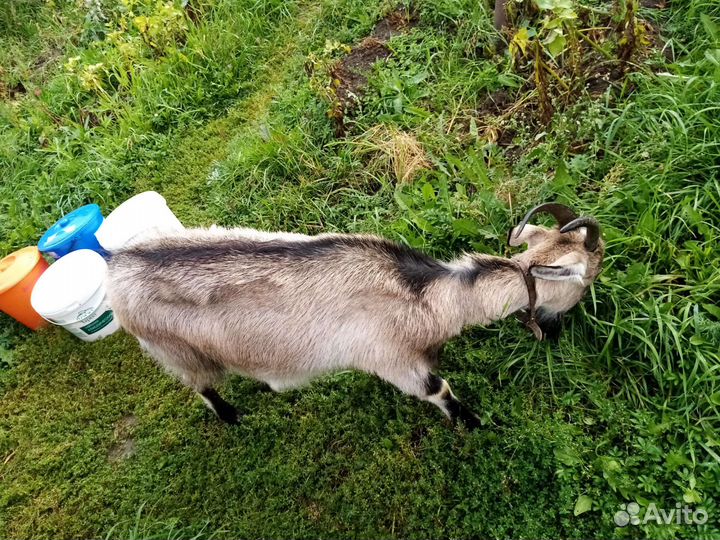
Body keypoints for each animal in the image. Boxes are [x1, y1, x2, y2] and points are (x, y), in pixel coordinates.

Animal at [106, 203, 603, 428]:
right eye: (587, 282)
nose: (556, 333)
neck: (427, 295)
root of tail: (117, 267)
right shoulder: (393, 359)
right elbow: (439, 390)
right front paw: (474, 423)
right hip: (177, 351)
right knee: (201, 387)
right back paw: (232, 417)